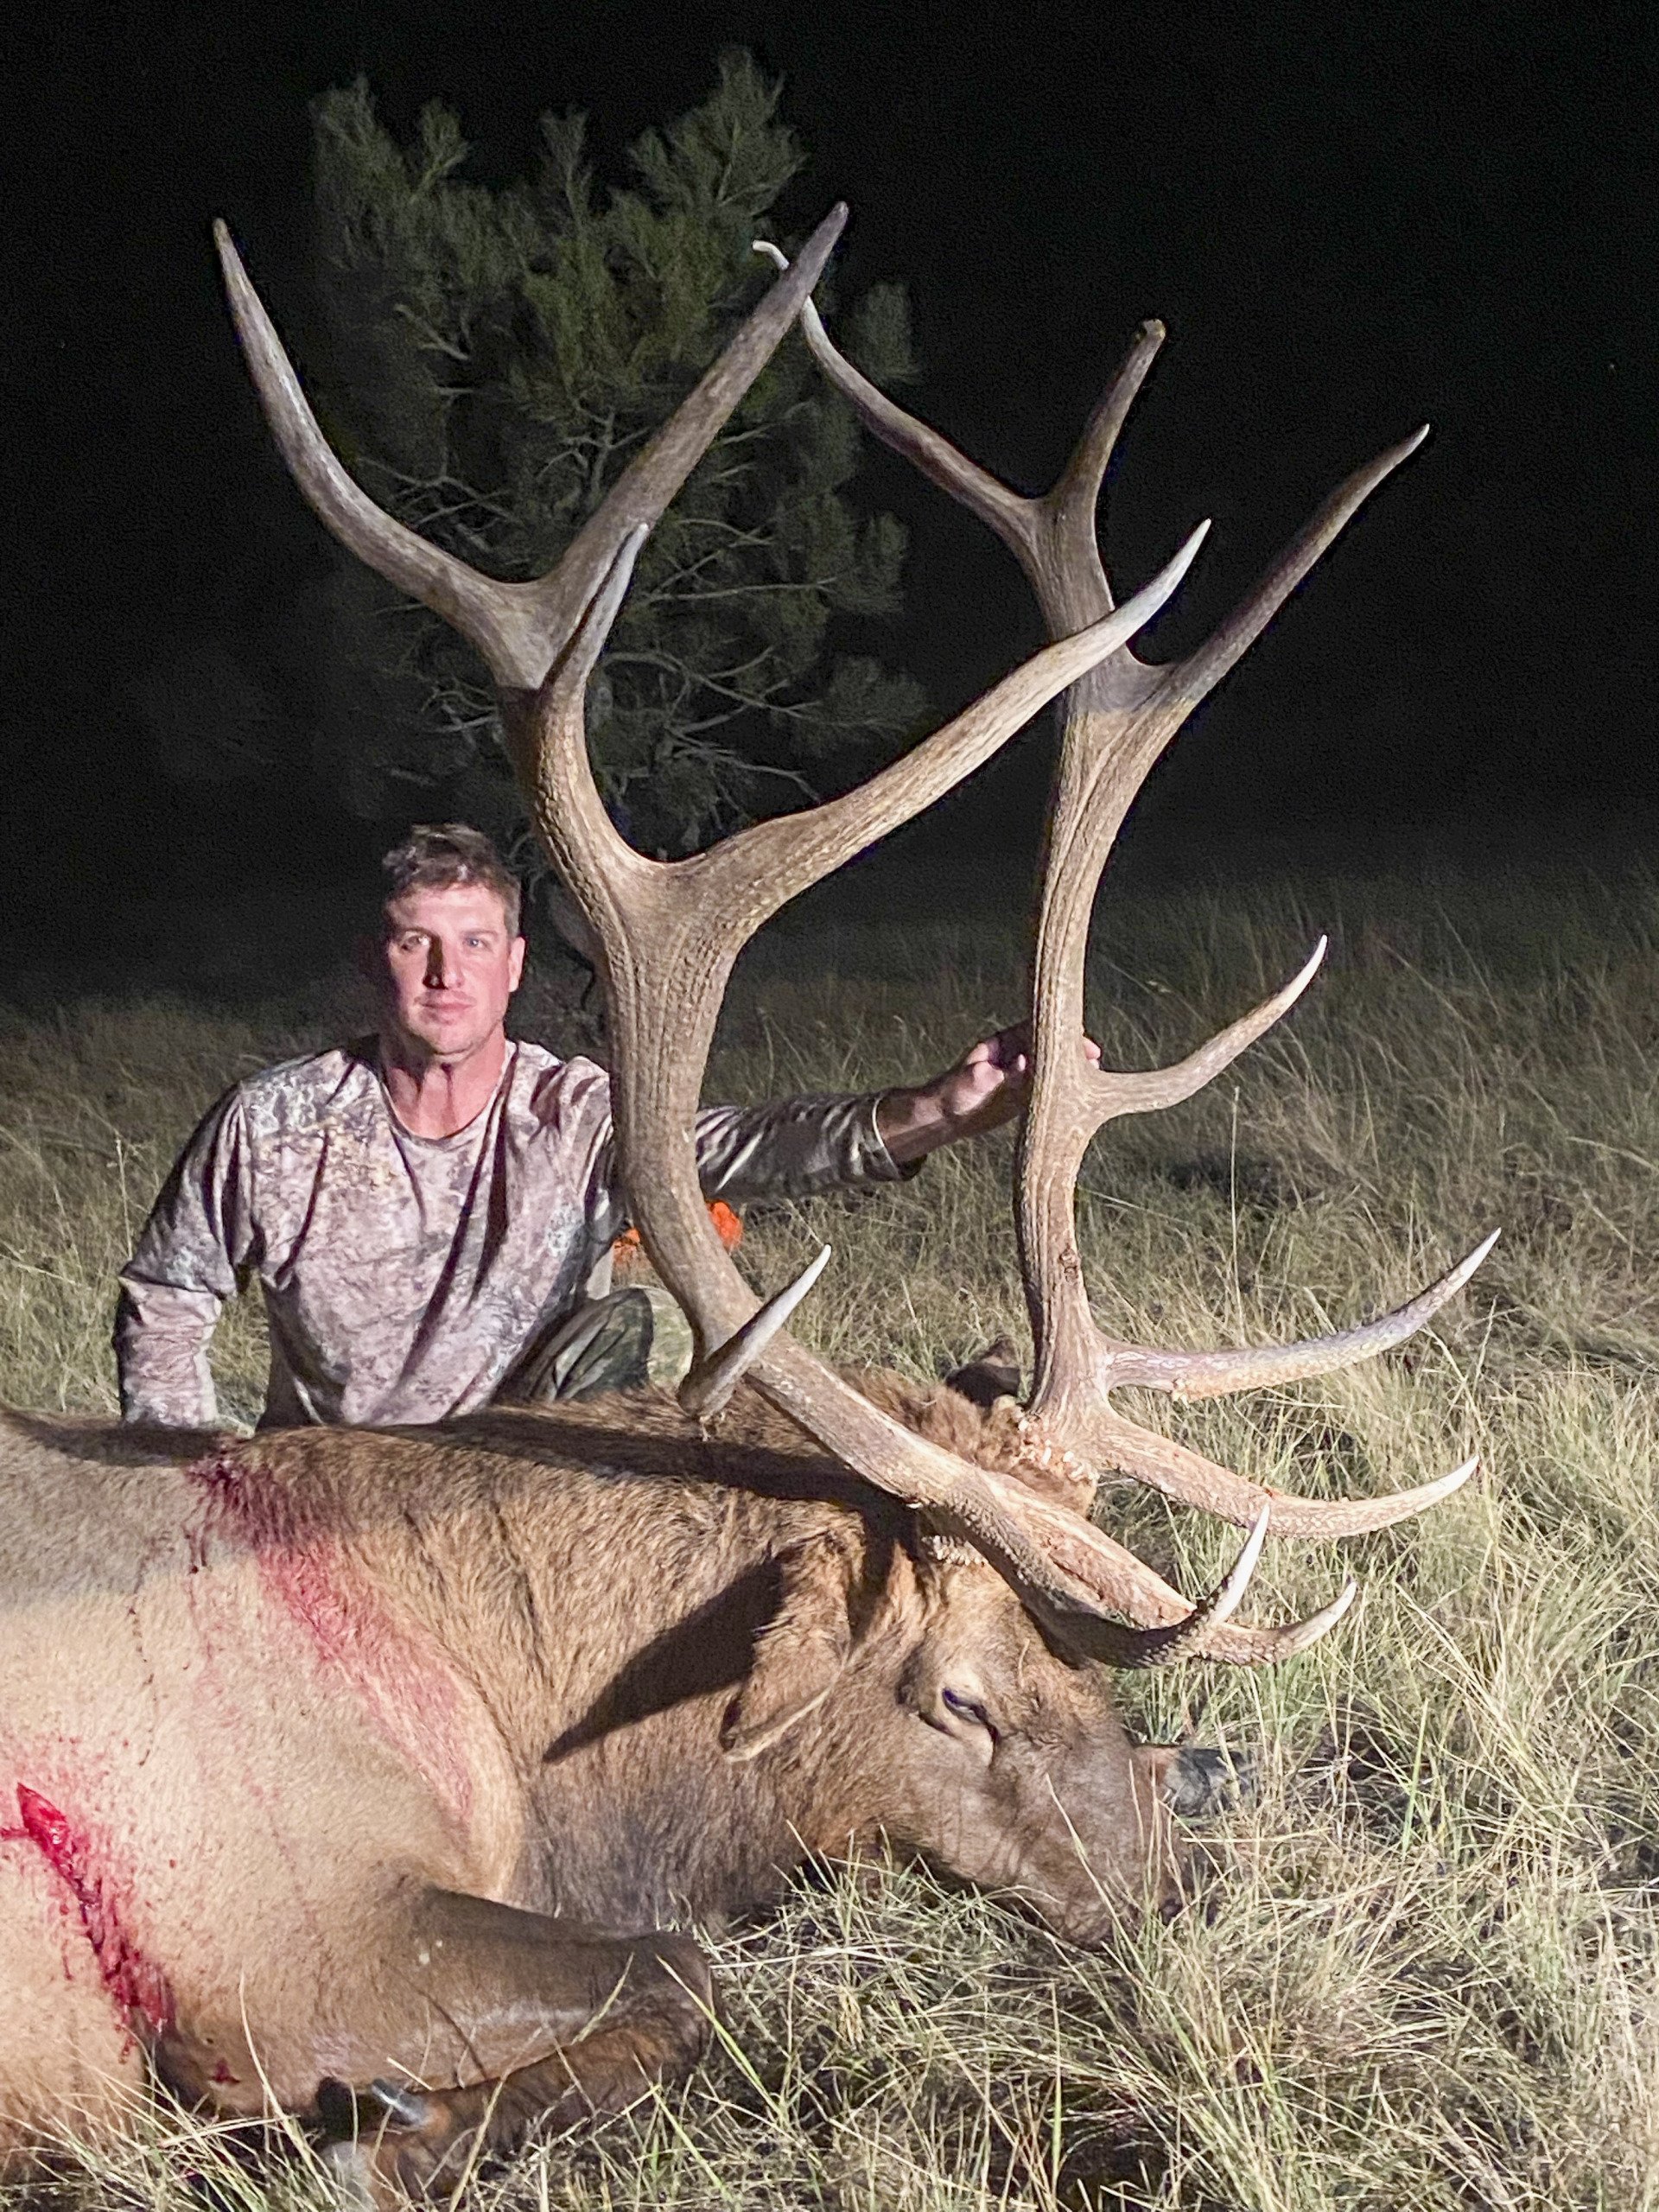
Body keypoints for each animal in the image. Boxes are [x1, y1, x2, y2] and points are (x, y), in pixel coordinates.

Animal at [0, 203, 1491, 2201]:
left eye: (1079, 1671)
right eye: (956, 1693)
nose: (1167, 1898)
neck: (529, 1738)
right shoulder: (269, 1935)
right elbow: (688, 1971)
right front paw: (383, 2133)